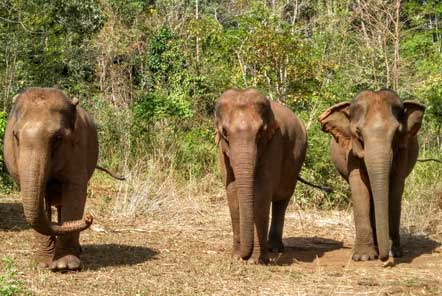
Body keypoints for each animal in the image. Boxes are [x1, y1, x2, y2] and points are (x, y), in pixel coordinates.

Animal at [4, 87, 98, 270]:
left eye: (58, 138)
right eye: (15, 136)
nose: (89, 217)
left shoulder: (77, 149)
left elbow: (75, 191)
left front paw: (65, 266)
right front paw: (43, 263)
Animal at [215, 87, 308, 264]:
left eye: (260, 133)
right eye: (225, 133)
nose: (244, 255)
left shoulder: (275, 142)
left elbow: (261, 192)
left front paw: (256, 260)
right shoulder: (222, 150)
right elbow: (232, 189)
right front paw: (237, 256)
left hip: (296, 161)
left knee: (282, 200)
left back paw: (275, 249)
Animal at [318, 89, 424, 262]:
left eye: (397, 132)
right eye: (358, 132)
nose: (384, 258)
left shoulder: (403, 151)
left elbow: (395, 190)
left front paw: (395, 253)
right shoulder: (351, 152)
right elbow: (360, 188)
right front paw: (363, 257)